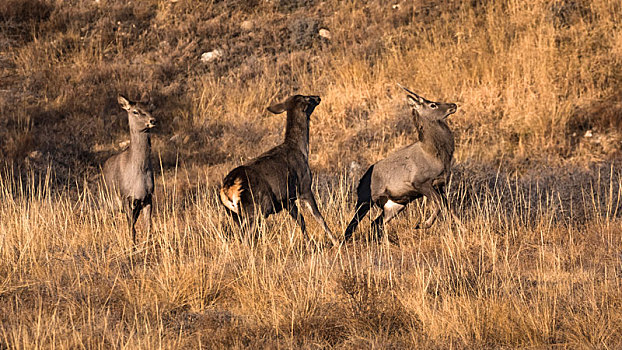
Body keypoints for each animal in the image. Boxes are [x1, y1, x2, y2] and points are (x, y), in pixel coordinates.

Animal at [102, 94, 156, 245]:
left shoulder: (148, 197)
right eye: (135, 111)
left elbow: (148, 228)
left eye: (151, 108)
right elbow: (131, 230)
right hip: (107, 200)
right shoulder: (126, 197)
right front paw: (132, 249)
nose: (152, 120)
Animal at [221, 93, 342, 246]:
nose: (318, 97)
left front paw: (309, 243)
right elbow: (318, 217)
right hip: (256, 207)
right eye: (307, 98)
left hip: (234, 214)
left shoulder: (287, 199)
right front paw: (336, 241)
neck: (301, 150)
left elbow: (300, 220)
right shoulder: (304, 187)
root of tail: (228, 188)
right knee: (247, 237)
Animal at [344, 85, 460, 243]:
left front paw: (462, 229)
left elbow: (450, 207)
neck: (437, 155)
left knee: (376, 223)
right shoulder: (420, 182)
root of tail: (360, 181)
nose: (453, 105)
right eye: (432, 104)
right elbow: (439, 205)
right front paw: (422, 224)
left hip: (396, 204)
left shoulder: (440, 185)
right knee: (352, 225)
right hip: (365, 199)